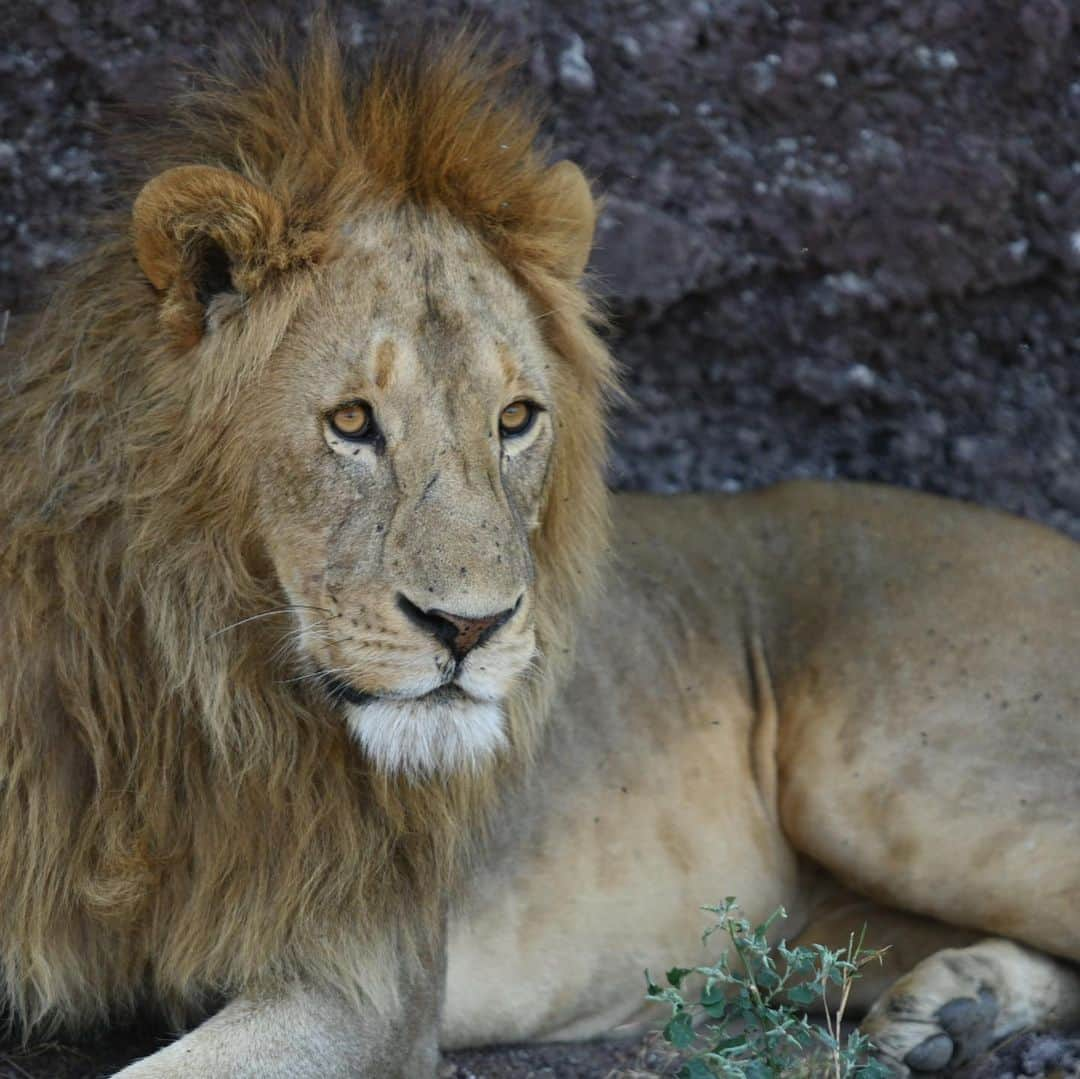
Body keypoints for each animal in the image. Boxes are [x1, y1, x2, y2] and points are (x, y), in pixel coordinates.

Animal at [0, 19, 1075, 1079]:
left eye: (514, 419)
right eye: (351, 421)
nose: (468, 628)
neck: (184, 676)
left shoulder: (366, 982)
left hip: (904, 778)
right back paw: (958, 1008)